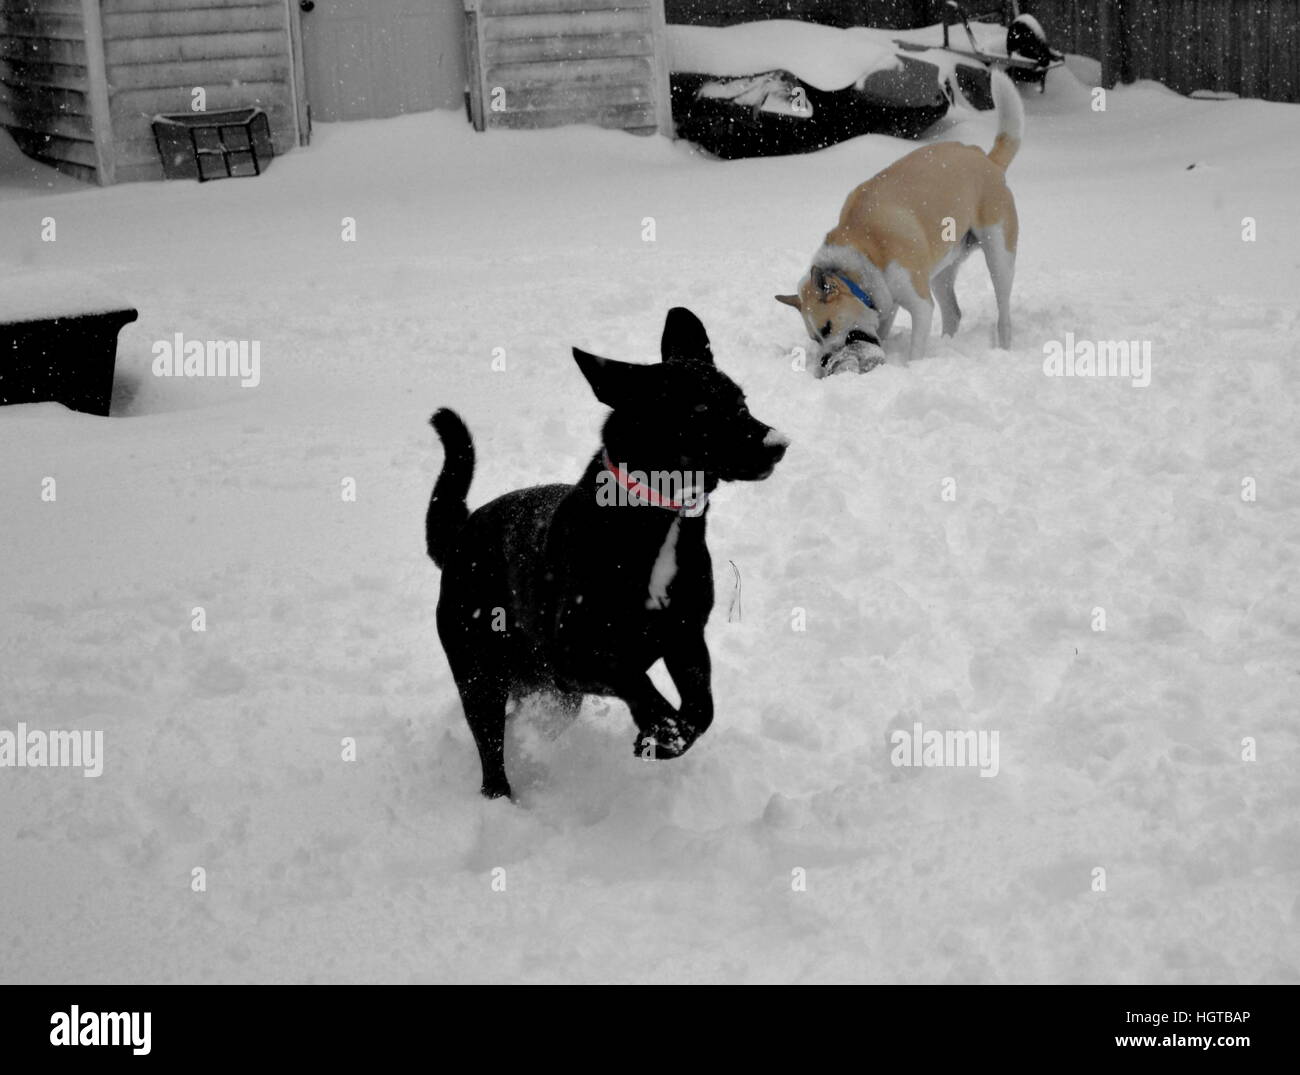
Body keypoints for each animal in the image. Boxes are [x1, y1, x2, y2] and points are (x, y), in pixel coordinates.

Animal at [431, 306, 785, 795]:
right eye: (698, 411)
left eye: (741, 402)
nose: (777, 444)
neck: (658, 519)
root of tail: (459, 537)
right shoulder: (574, 654)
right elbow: (632, 676)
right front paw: (661, 729)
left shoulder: (685, 635)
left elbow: (702, 709)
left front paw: (666, 740)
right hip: (480, 671)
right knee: (491, 749)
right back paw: (502, 798)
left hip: (549, 692)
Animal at [780, 68, 1024, 369]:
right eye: (815, 338)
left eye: (827, 328)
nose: (825, 360)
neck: (864, 250)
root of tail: (987, 159)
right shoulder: (886, 302)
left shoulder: (919, 305)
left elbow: (915, 346)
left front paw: (911, 368)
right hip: (942, 271)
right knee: (953, 313)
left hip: (999, 255)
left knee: (1003, 312)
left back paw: (1003, 346)